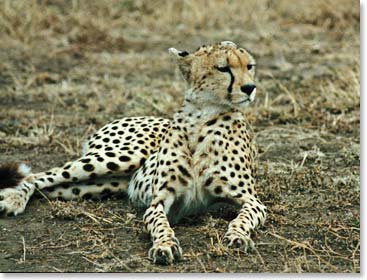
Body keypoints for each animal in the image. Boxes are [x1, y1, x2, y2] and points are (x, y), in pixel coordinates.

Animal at [1, 41, 268, 264]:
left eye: (250, 66)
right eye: (223, 68)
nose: (250, 88)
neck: (203, 116)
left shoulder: (251, 200)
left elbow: (244, 217)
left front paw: (238, 236)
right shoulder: (160, 200)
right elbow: (159, 223)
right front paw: (164, 245)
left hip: (100, 185)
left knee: (52, 187)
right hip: (117, 158)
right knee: (38, 176)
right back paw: (13, 200)